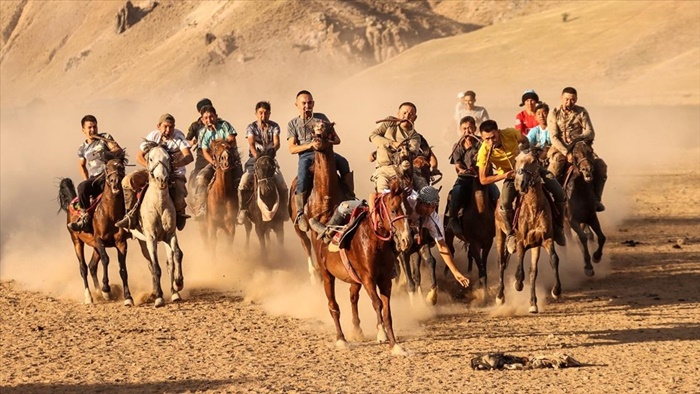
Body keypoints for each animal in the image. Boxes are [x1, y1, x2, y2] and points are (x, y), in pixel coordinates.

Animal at [58, 155, 133, 306]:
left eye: (121, 167)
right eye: (107, 168)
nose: (115, 182)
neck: (109, 214)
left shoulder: (121, 243)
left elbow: (122, 268)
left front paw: (128, 297)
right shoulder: (99, 240)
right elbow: (106, 259)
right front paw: (106, 290)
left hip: (94, 246)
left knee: (92, 266)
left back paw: (98, 292)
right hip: (77, 241)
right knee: (83, 267)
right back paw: (89, 297)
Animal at [129, 142, 183, 308]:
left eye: (168, 158)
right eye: (151, 158)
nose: (161, 179)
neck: (158, 205)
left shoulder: (170, 234)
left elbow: (177, 255)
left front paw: (179, 283)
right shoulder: (151, 238)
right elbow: (156, 267)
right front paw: (159, 298)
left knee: (169, 262)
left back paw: (175, 293)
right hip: (142, 241)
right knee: (151, 265)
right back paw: (154, 294)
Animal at [492, 150, 564, 314]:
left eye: (533, 161)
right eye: (517, 160)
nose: (520, 183)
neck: (533, 208)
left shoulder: (546, 239)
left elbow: (553, 260)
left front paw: (556, 291)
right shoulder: (521, 242)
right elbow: (519, 271)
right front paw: (517, 285)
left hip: (535, 246)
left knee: (533, 272)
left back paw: (533, 304)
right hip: (500, 233)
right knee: (501, 262)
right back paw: (500, 296)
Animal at [568, 139, 604, 278]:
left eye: (590, 151)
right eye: (575, 153)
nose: (587, 169)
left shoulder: (591, 217)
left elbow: (601, 237)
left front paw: (597, 256)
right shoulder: (572, 220)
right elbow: (582, 238)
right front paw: (588, 266)